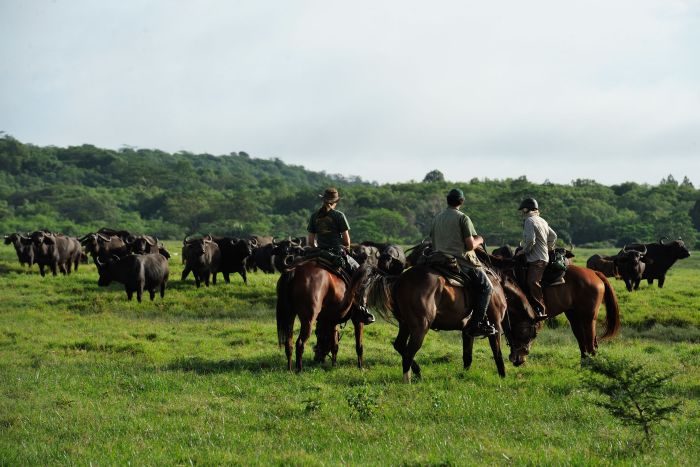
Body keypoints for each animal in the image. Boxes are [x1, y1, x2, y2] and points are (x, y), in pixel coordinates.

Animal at [360, 266, 536, 382]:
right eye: (531, 335)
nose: (520, 360)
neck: (498, 289)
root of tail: (400, 280)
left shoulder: (467, 331)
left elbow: (467, 356)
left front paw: (464, 375)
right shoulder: (495, 328)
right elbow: (497, 353)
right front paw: (503, 375)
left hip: (406, 325)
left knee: (399, 346)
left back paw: (417, 371)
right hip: (420, 328)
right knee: (408, 352)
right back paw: (408, 379)